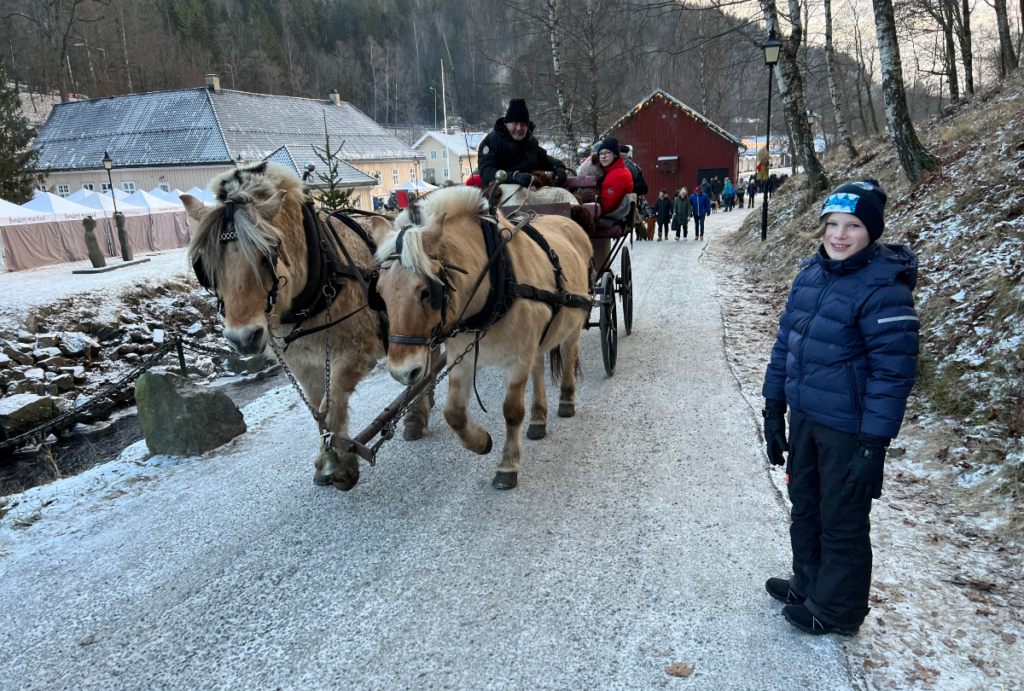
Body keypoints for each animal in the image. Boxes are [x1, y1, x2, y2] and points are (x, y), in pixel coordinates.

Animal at [182, 161, 430, 491]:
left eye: (267, 254)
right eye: (205, 266)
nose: (243, 338)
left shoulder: (355, 351)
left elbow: (331, 404)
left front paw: (340, 464)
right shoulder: (301, 362)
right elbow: (318, 410)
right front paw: (329, 457)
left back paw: (415, 415)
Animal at [374, 189, 593, 489]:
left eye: (426, 292)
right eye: (379, 292)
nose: (401, 372)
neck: (498, 282)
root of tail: (569, 222)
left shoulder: (517, 361)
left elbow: (512, 411)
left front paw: (507, 465)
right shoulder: (462, 360)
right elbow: (454, 414)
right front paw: (480, 442)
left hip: (574, 324)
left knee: (569, 356)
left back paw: (566, 401)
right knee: (538, 367)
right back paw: (538, 419)